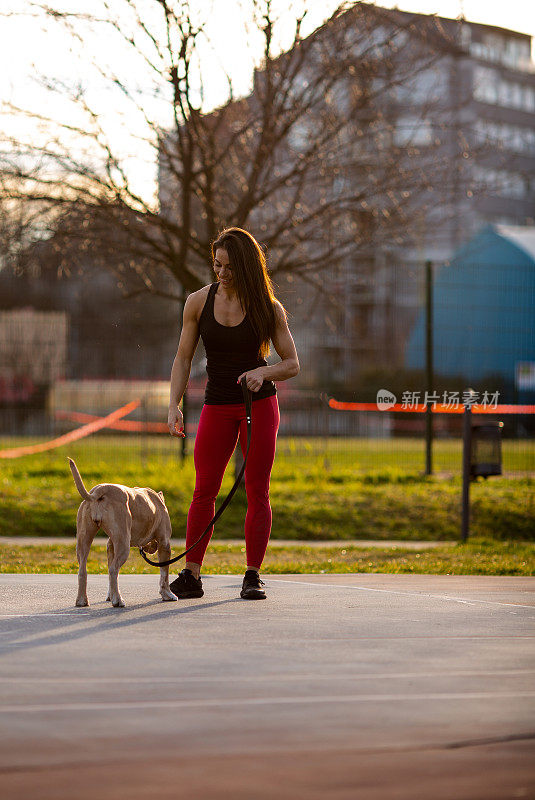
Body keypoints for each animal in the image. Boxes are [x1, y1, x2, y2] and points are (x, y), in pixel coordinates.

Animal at [68, 456, 177, 608]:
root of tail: (100, 490)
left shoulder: (110, 545)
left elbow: (109, 575)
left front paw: (110, 595)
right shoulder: (164, 543)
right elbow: (164, 573)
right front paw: (167, 594)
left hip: (84, 539)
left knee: (83, 570)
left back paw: (82, 600)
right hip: (123, 545)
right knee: (113, 569)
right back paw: (118, 601)